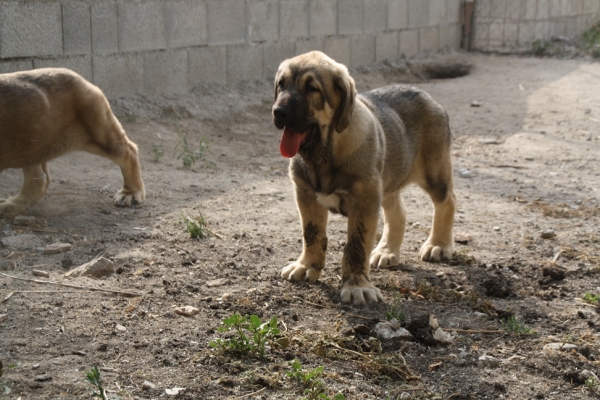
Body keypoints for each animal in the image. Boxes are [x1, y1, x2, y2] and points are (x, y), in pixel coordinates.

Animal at [0, 68, 145, 216]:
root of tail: (83, 80)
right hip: (32, 143)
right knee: (39, 179)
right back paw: (13, 204)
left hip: (98, 132)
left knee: (128, 152)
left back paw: (130, 193)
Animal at [274, 51, 458, 304]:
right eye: (281, 84)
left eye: (312, 89)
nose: (278, 112)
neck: (324, 153)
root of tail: (428, 96)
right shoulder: (306, 195)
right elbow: (312, 234)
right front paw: (306, 265)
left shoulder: (364, 201)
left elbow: (356, 246)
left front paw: (356, 286)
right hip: (387, 183)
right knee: (398, 213)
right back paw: (386, 251)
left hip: (434, 172)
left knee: (447, 202)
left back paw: (438, 245)